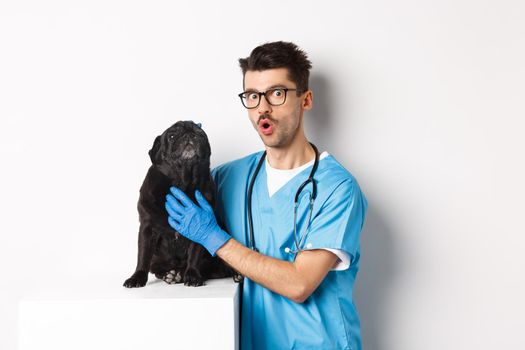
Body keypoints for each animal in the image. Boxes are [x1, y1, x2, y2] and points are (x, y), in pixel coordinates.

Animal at [124, 120, 232, 288]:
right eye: (172, 136)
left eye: (201, 134)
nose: (190, 135)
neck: (182, 182)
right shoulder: (147, 228)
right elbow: (143, 256)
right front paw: (137, 278)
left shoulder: (199, 226)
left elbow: (194, 254)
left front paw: (192, 275)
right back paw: (172, 275)